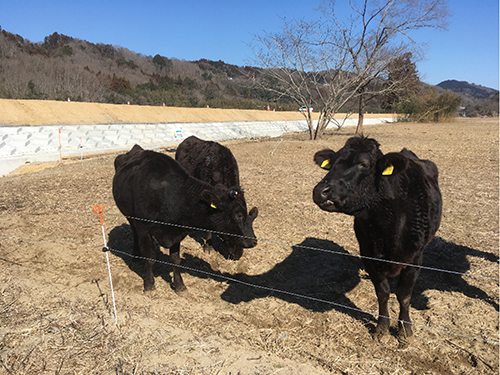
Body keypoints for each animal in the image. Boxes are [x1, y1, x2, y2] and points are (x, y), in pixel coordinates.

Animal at [111, 145, 256, 292]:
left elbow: (175, 259)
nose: (253, 241)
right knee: (134, 232)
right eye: (238, 215)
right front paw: (149, 284)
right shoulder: (144, 229)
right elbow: (150, 257)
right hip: (129, 216)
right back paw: (135, 255)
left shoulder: (177, 231)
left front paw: (179, 285)